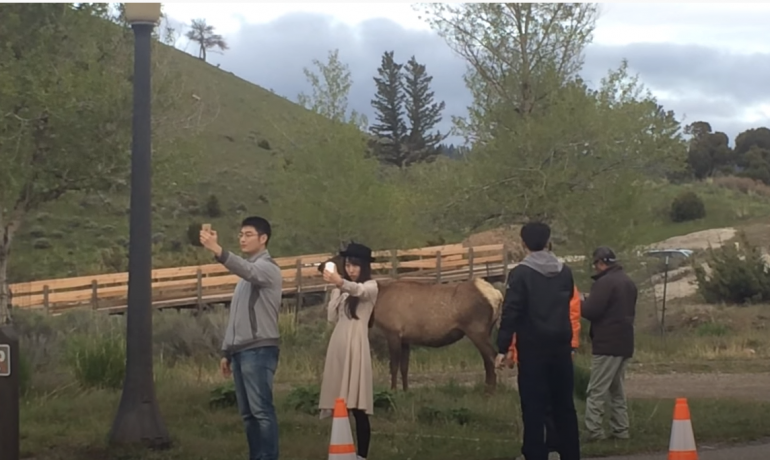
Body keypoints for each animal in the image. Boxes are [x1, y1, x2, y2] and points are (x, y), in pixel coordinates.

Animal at [316, 255, 500, 392]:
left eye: (341, 258)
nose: (321, 266)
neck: (377, 301)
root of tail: (496, 295)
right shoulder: (406, 339)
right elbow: (405, 367)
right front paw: (405, 390)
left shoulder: (393, 332)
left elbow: (393, 366)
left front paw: (393, 390)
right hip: (486, 330)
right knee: (490, 359)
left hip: (476, 330)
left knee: (492, 357)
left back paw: (489, 390)